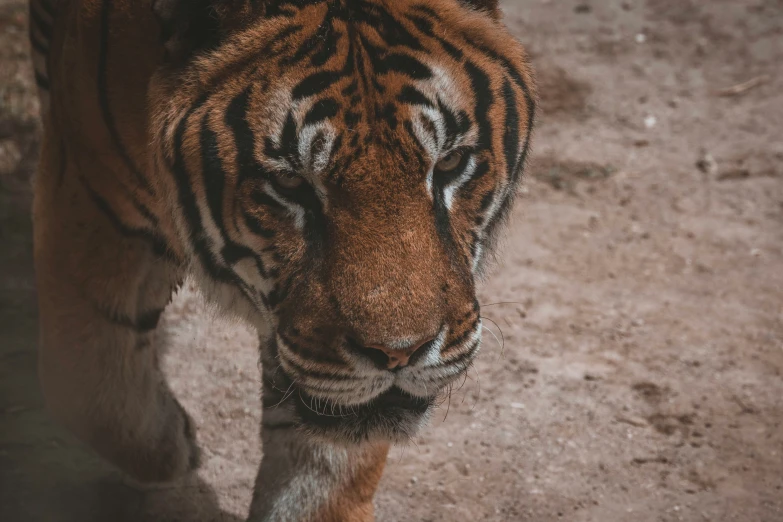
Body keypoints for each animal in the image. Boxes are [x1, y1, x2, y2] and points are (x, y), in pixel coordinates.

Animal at [29, 0, 532, 516]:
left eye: (449, 163)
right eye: (291, 183)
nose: (400, 354)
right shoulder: (95, 198)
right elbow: (89, 385)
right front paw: (175, 445)